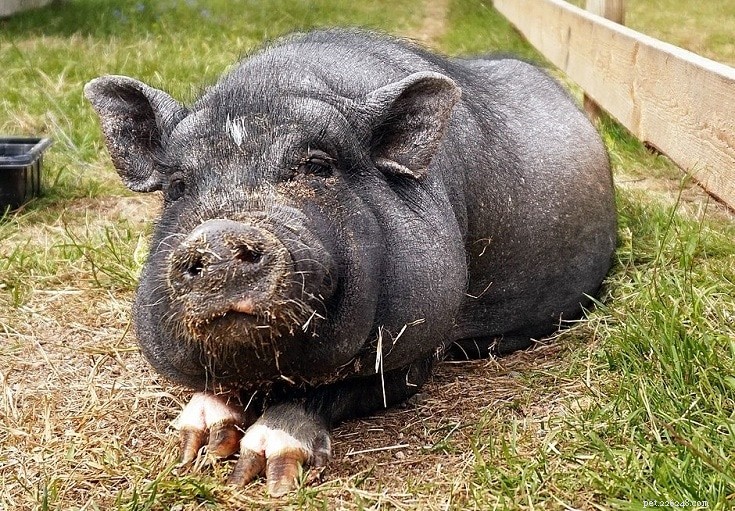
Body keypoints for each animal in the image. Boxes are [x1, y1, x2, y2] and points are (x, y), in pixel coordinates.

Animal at [85, 28, 616, 495]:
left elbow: (333, 390)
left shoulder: (415, 351)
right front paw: (197, 449)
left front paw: (260, 472)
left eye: (318, 165)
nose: (217, 236)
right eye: (177, 185)